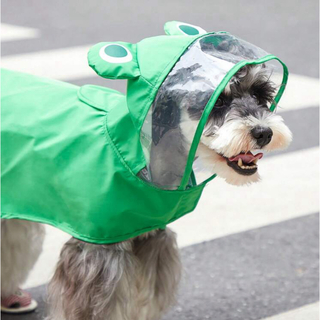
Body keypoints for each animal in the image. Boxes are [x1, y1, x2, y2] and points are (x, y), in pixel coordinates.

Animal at [0, 63, 292, 320]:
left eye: (260, 94)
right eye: (217, 101)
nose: (264, 133)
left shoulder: (151, 240)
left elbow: (144, 301)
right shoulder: (97, 254)